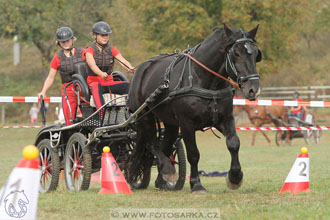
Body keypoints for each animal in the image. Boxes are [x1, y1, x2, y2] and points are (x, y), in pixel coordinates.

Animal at [127, 24, 262, 192]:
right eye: (236, 53)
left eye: (256, 54)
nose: (254, 89)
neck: (204, 80)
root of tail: (140, 70)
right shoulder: (186, 124)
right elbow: (193, 154)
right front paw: (196, 184)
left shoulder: (225, 118)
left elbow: (233, 143)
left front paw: (235, 177)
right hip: (145, 117)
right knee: (152, 144)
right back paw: (168, 170)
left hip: (170, 123)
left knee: (165, 146)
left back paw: (162, 179)